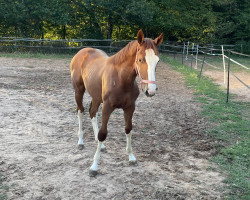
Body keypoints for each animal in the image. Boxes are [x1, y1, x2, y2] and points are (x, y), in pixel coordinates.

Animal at [70, 29, 164, 177]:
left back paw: (100, 145)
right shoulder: (107, 107)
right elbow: (103, 133)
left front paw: (131, 157)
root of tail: (81, 52)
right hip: (79, 91)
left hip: (96, 96)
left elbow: (128, 129)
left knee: (92, 112)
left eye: (157, 61)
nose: (151, 90)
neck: (121, 79)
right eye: (140, 59)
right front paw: (94, 166)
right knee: (80, 111)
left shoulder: (130, 107)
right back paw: (80, 142)